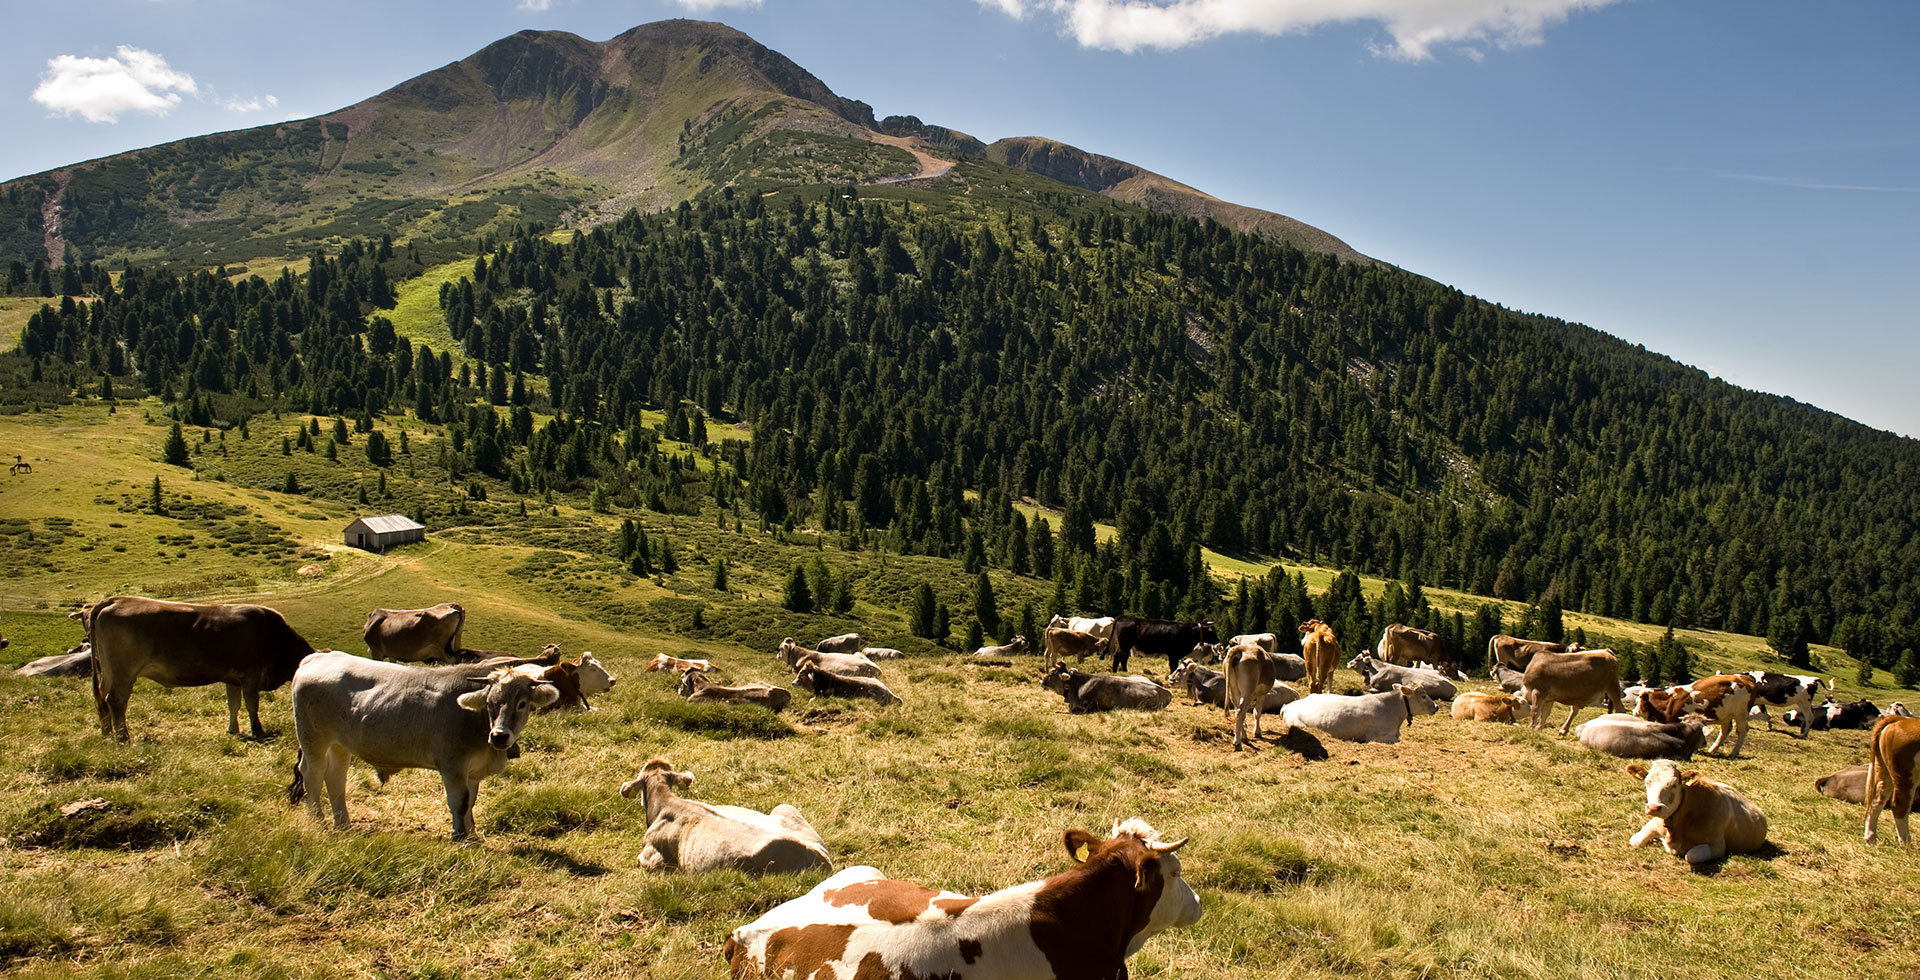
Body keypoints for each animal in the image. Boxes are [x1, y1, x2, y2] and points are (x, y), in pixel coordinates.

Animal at [88, 591, 314, 737]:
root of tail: (117, 600)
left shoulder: (233, 679)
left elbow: (233, 704)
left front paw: (233, 730)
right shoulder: (250, 676)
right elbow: (252, 705)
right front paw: (257, 730)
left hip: (107, 671)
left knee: (101, 699)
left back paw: (106, 734)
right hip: (124, 673)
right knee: (116, 701)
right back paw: (123, 738)